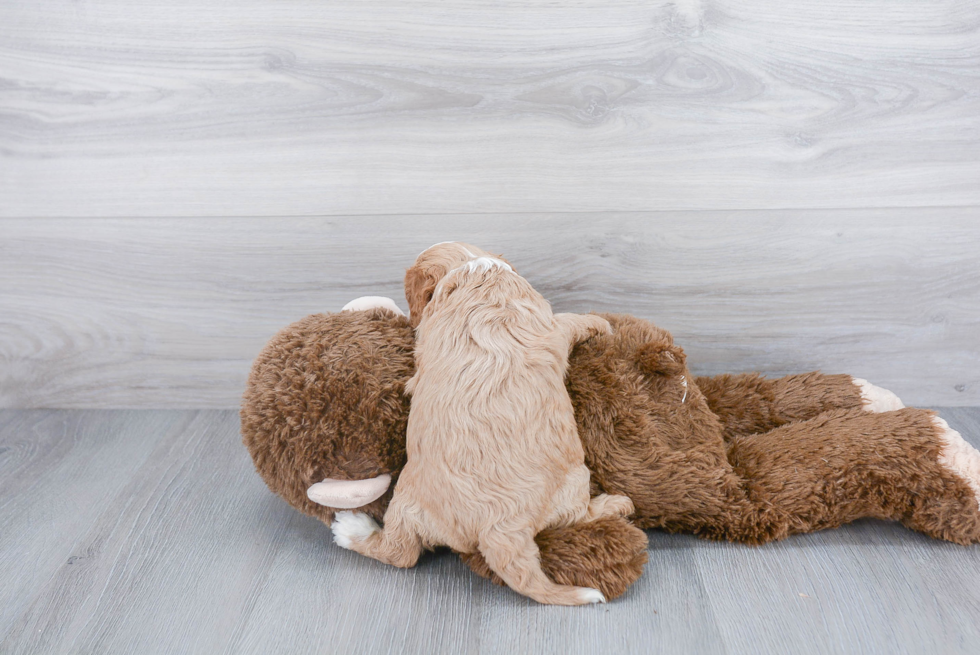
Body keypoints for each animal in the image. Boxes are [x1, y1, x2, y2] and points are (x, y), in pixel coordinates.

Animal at [332, 243, 636, 608]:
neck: (474, 270)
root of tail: (498, 530)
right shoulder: (551, 323)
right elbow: (571, 320)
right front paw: (600, 323)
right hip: (575, 480)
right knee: (576, 516)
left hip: (406, 503)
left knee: (400, 552)